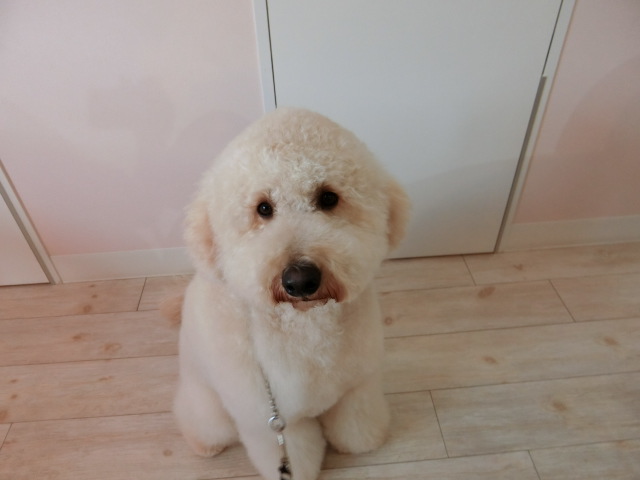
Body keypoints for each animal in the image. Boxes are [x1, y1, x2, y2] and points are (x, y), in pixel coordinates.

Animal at [173, 107, 410, 480]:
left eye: (328, 198)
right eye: (263, 208)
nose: (300, 280)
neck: (307, 327)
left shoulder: (358, 387)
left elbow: (357, 424)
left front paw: (365, 442)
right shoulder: (271, 422)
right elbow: (292, 455)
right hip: (208, 408)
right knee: (201, 424)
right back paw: (203, 444)